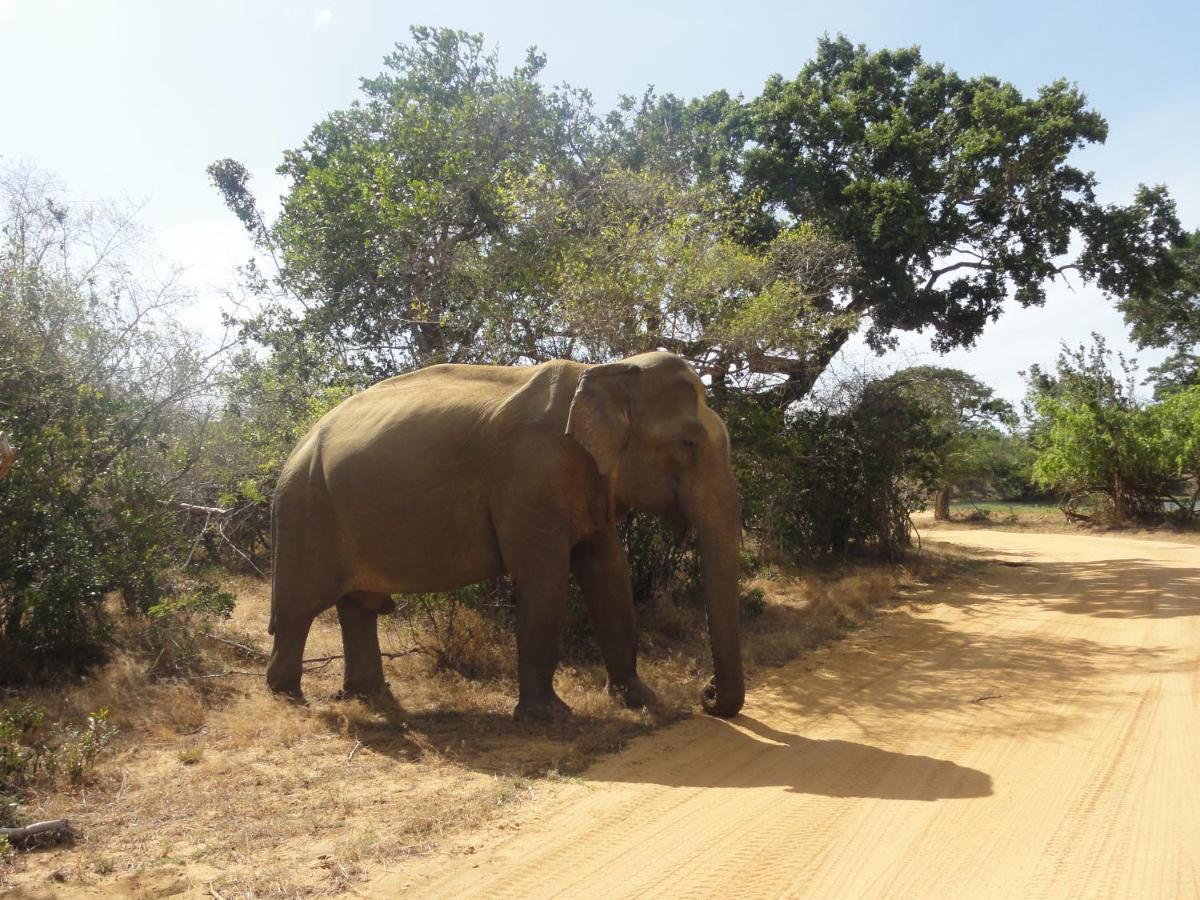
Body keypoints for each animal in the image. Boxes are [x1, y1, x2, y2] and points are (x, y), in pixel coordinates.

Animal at [267, 348, 744, 724]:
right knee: (298, 609)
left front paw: (641, 700)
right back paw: (290, 698)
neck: (602, 370)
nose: (707, 694)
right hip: (304, 509)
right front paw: (548, 719)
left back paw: (369, 695)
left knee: (358, 606)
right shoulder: (531, 474)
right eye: (688, 443)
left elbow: (608, 572)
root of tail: (297, 445)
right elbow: (543, 577)